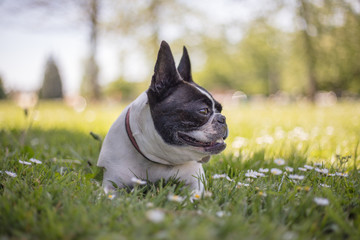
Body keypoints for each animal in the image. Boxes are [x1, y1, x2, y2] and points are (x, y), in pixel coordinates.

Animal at [97, 40, 228, 193]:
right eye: (203, 110)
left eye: (220, 109)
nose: (222, 118)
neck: (158, 159)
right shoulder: (111, 185)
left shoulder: (196, 184)